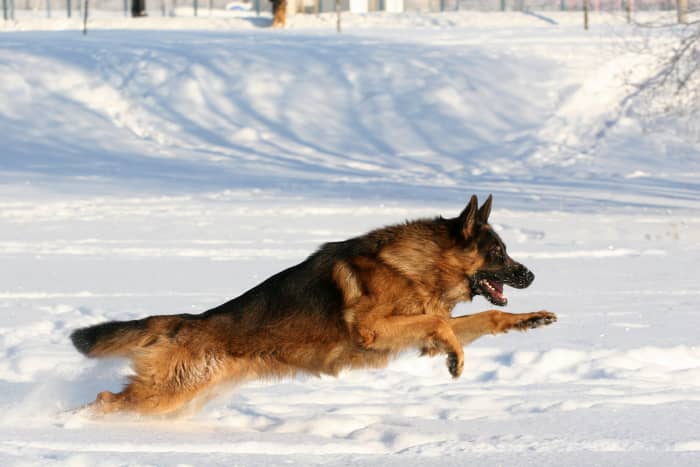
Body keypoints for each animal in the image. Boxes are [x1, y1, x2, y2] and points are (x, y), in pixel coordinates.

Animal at [69, 195, 552, 416]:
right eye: (498, 253)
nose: (531, 275)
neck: (421, 263)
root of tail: (189, 322)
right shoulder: (375, 329)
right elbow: (440, 323)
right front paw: (456, 357)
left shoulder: (419, 328)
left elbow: (485, 315)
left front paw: (529, 319)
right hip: (165, 392)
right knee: (106, 399)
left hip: (181, 397)